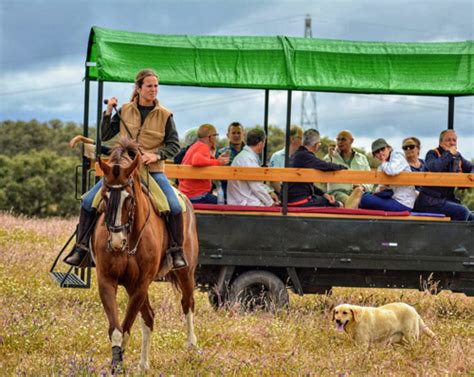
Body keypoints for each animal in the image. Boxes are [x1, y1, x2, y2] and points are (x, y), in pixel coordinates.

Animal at [92, 137, 198, 370]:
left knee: (187, 303)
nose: (116, 242)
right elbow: (116, 328)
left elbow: (126, 327)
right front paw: (116, 363)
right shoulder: (107, 280)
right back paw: (143, 365)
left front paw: (119, 363)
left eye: (129, 198)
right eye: (104, 195)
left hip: (185, 273)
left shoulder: (141, 283)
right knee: (148, 317)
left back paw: (192, 347)